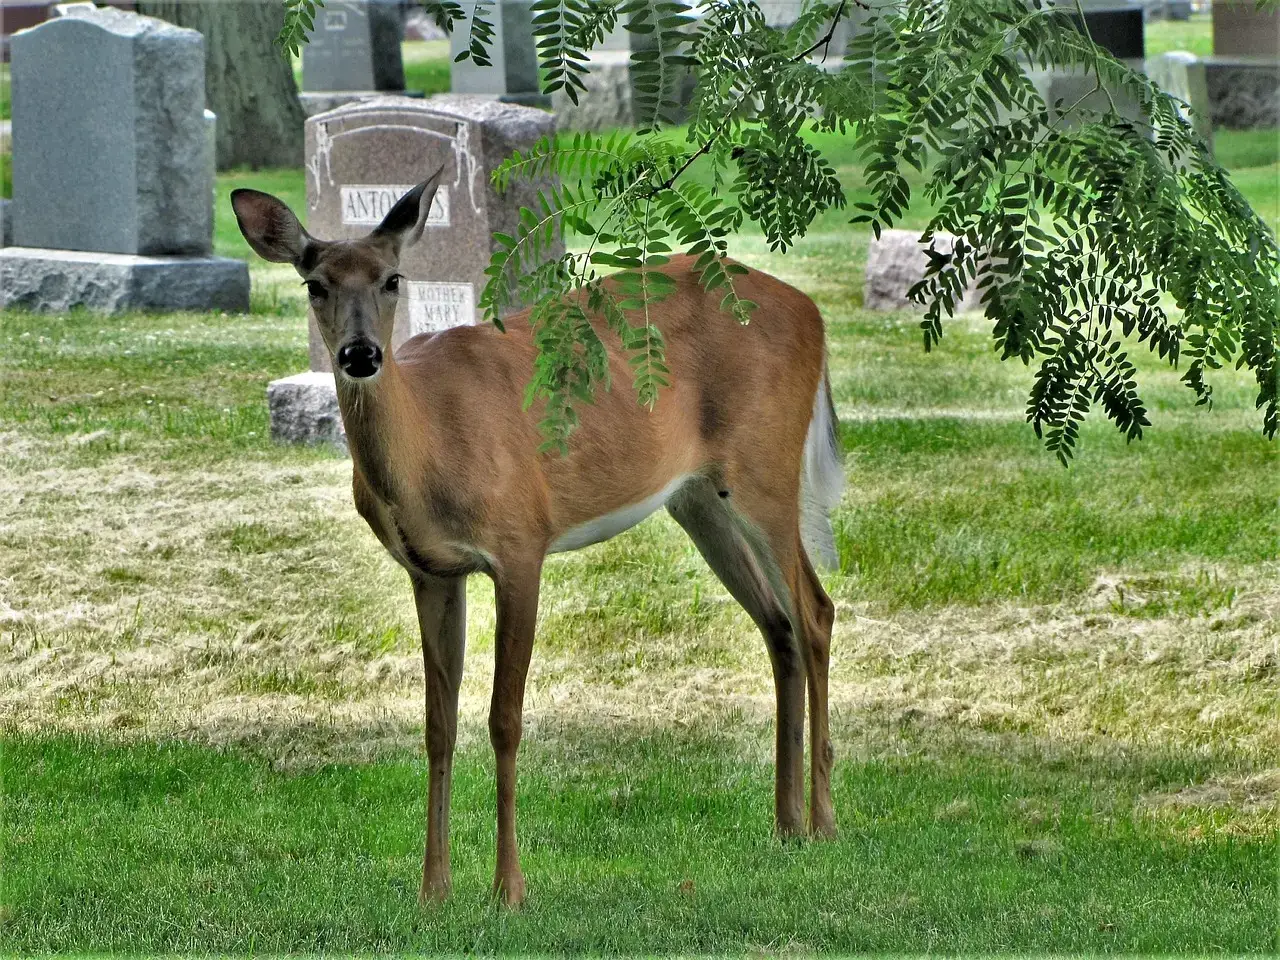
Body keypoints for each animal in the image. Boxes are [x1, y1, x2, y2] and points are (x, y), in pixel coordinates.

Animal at [230, 168, 844, 907]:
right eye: (313, 283)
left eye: (393, 278)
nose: (359, 354)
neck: (430, 447)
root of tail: (813, 312)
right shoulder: (431, 570)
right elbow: (438, 725)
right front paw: (433, 889)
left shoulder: (521, 540)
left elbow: (505, 718)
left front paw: (509, 889)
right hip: (700, 499)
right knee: (778, 624)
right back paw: (785, 825)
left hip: (765, 465)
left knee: (815, 611)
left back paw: (823, 821)